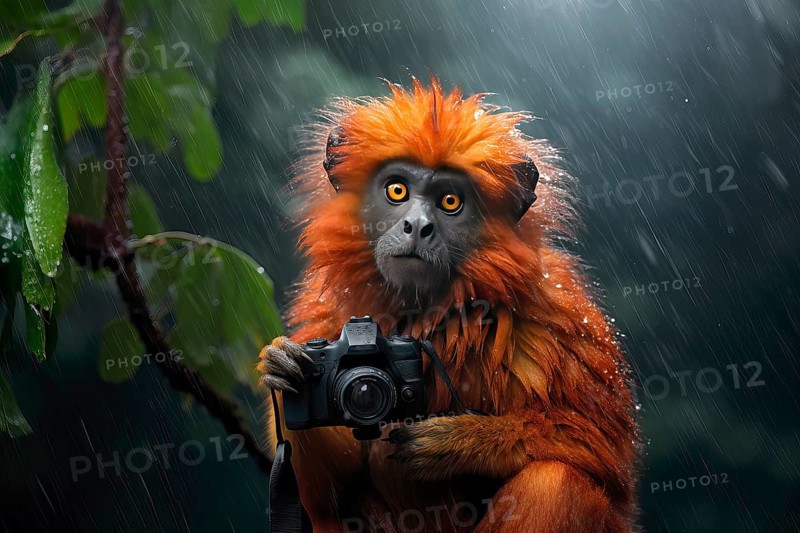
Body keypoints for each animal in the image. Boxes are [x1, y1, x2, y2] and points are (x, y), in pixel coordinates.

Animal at [258, 77, 640, 532]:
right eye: (397, 190)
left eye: (449, 202)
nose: (417, 226)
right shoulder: (328, 314)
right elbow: (323, 498)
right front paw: (287, 367)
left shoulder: (554, 310)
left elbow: (600, 453)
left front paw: (461, 442)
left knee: (557, 481)